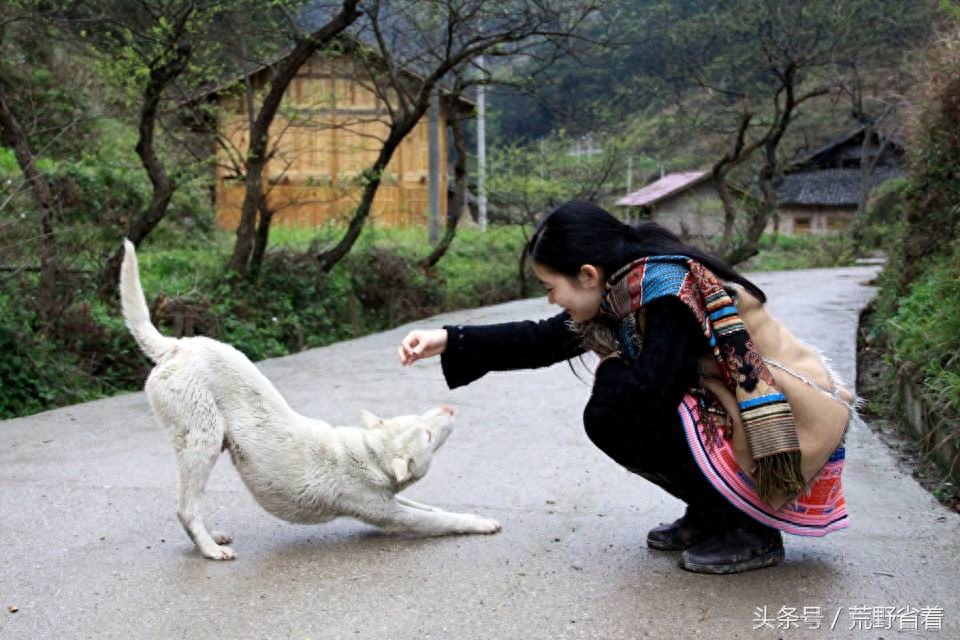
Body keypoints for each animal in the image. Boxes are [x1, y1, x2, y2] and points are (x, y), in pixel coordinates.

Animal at [118, 240, 502, 560]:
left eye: (420, 418)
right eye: (428, 436)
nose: (449, 407)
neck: (369, 455)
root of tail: (175, 346)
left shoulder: (393, 498)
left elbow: (428, 507)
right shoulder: (390, 515)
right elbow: (441, 521)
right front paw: (478, 522)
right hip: (203, 440)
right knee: (186, 508)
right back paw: (210, 548)